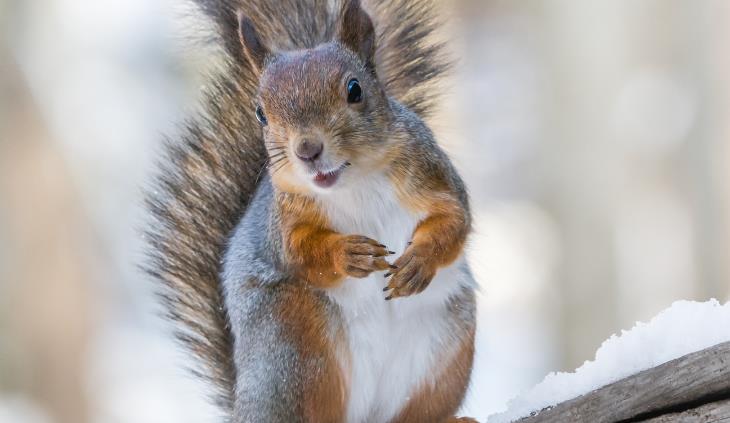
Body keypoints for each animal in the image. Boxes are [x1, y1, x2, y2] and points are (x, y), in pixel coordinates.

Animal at [147, 0, 478, 423]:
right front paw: (347, 253)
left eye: (355, 90)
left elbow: (454, 221)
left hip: (446, 352)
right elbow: (299, 253)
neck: (355, 182)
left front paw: (419, 262)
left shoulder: (433, 176)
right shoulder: (285, 219)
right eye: (260, 112)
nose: (307, 150)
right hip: (295, 348)